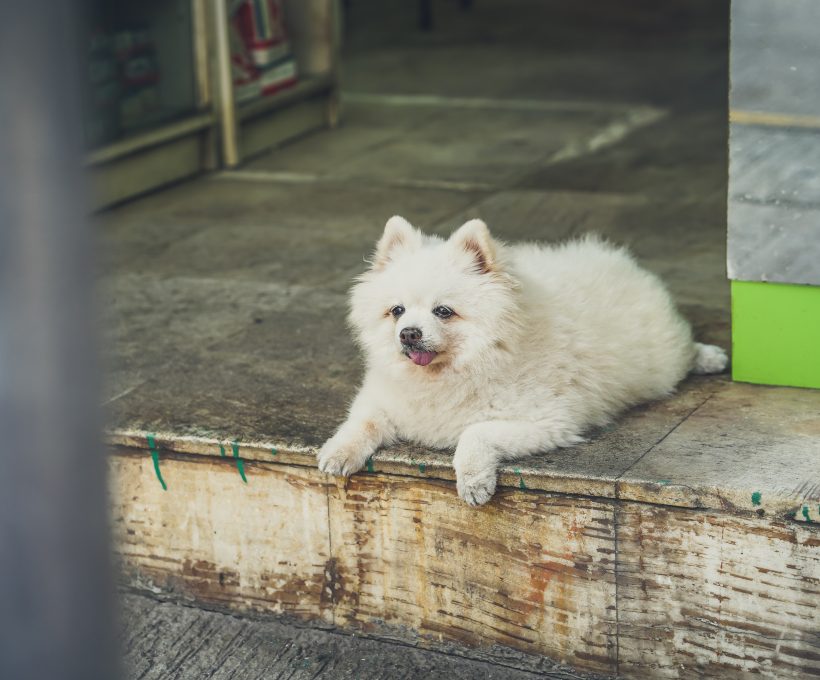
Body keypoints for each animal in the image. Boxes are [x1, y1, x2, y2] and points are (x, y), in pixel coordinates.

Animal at [318, 216, 728, 504]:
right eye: (397, 311)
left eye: (443, 311)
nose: (408, 334)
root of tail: (616, 259)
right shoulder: (382, 399)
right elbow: (361, 421)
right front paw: (337, 452)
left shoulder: (548, 421)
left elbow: (475, 432)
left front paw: (473, 480)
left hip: (661, 361)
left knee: (684, 351)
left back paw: (711, 357)